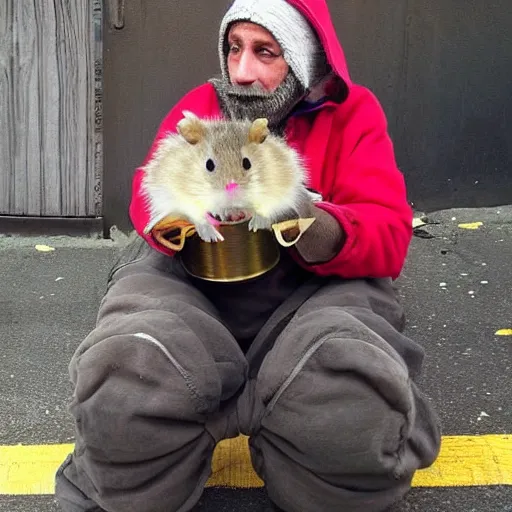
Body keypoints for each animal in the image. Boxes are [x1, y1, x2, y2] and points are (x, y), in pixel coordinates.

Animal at [140, 111, 310, 243]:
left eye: (247, 163)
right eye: (209, 165)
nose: (231, 189)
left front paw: (255, 225)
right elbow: (199, 217)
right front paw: (213, 236)